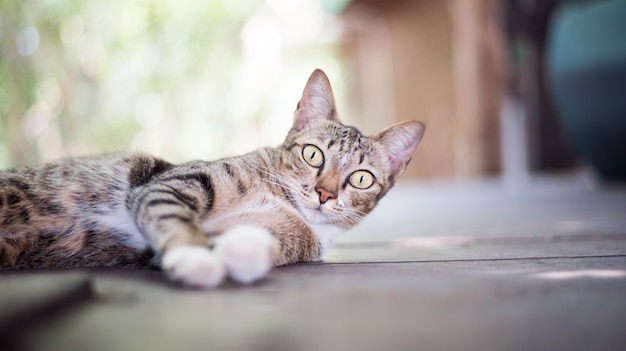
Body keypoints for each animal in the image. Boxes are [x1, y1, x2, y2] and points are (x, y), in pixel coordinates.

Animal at [0, 69, 424, 288]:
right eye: (313, 154)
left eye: (361, 179)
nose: (324, 194)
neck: (282, 200)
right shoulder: (168, 184)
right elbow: (176, 218)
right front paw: (194, 257)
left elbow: (253, 245)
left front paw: (241, 251)